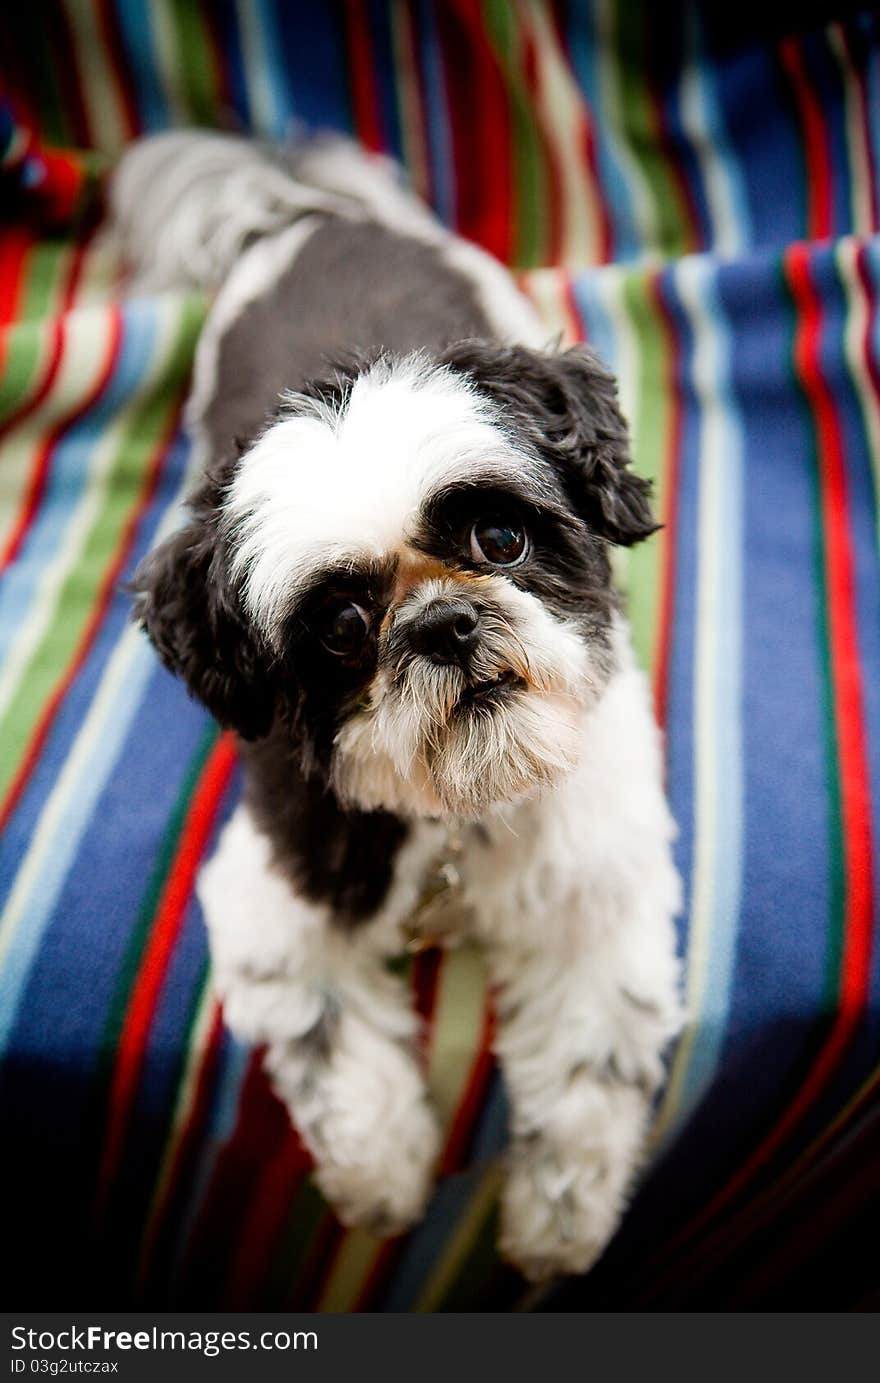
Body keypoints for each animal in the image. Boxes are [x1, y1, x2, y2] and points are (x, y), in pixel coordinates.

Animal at [111, 132, 680, 1283]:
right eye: (339, 628)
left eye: (500, 539)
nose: (444, 624)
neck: (466, 811)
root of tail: (302, 210)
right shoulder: (284, 892)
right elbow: (335, 1049)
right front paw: (384, 1179)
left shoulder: (601, 888)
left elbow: (591, 1068)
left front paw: (557, 1223)